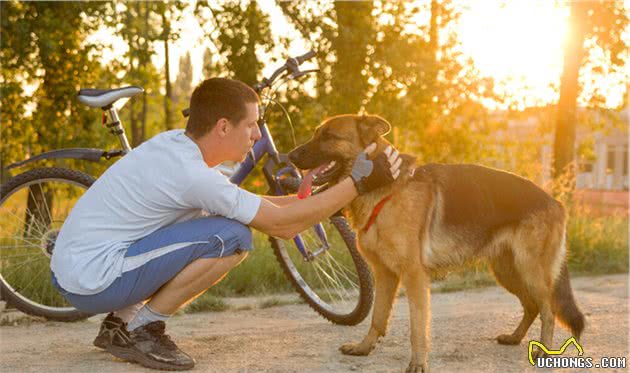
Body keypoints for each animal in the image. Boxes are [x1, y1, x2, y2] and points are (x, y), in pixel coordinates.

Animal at [290, 114, 588, 372]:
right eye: (316, 133)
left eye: (328, 136)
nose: (289, 156)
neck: (385, 190)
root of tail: (555, 201)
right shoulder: (385, 275)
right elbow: (377, 318)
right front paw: (364, 348)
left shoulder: (414, 277)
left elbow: (417, 326)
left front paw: (418, 363)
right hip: (507, 272)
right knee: (532, 306)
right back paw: (515, 338)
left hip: (530, 271)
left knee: (548, 309)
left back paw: (543, 350)